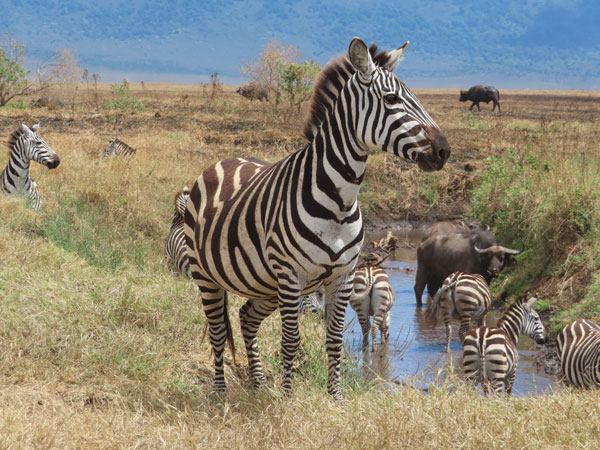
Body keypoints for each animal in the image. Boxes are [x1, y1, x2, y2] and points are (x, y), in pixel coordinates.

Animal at [184, 37, 450, 400]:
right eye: (392, 99)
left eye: (417, 97)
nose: (444, 151)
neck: (339, 201)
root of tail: (222, 161)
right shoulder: (291, 276)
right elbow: (291, 340)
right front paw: (287, 399)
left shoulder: (343, 276)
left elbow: (334, 339)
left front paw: (334, 397)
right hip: (208, 276)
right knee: (216, 332)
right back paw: (221, 391)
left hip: (264, 285)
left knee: (246, 319)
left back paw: (258, 385)